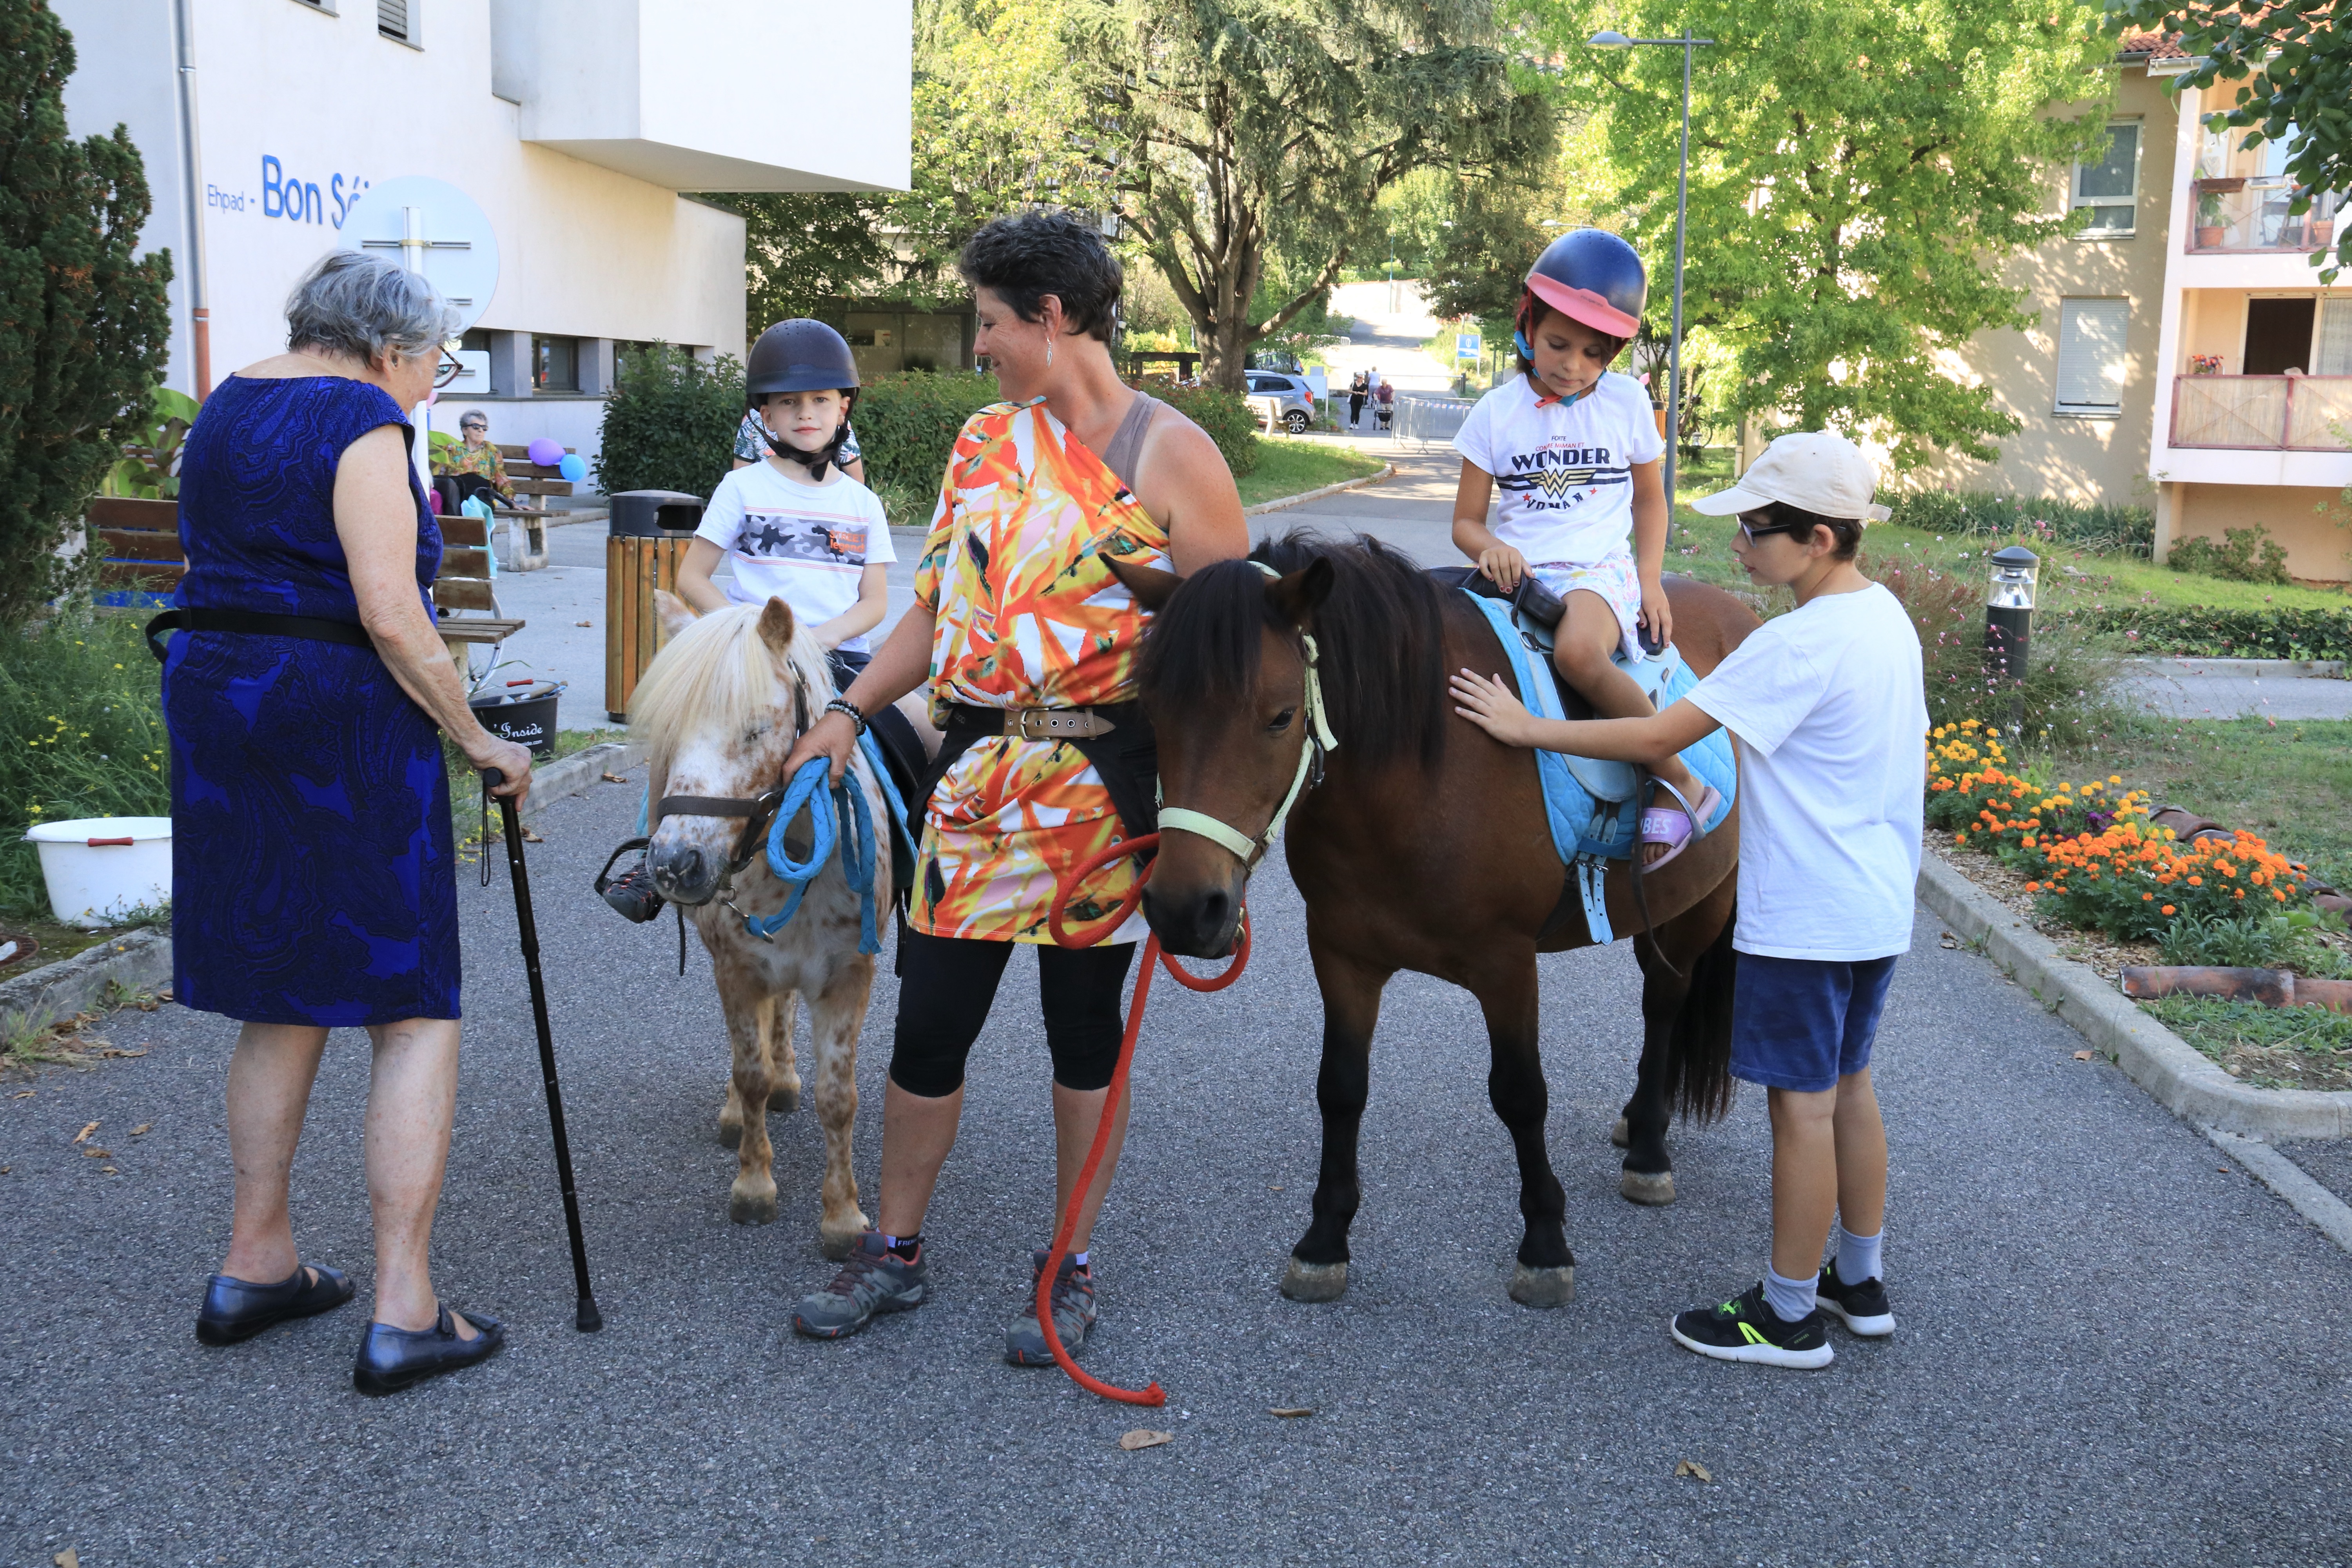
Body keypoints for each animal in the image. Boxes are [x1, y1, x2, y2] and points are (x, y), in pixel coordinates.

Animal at [1124, 541, 1769, 1316]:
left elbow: (1521, 1095)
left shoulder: (1506, 964)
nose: (1185, 909)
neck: (1417, 772)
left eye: (1279, 718)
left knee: (1665, 1005)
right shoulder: (1340, 953)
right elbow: (1340, 1087)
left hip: (1704, 906)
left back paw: (1647, 1146)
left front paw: (1545, 1245)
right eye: (1152, 713)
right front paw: (1324, 1240)